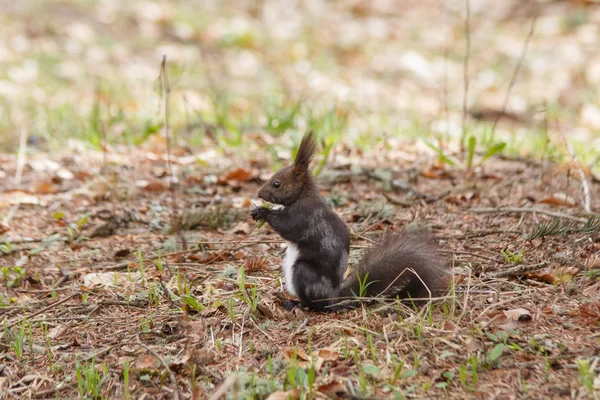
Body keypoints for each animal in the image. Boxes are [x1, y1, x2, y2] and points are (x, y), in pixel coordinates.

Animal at [248, 133, 446, 310]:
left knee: (315, 305)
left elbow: (288, 227)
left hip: (305, 274)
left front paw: (263, 212)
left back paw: (297, 304)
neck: (303, 195)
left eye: (276, 184)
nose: (259, 193)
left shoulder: (305, 215)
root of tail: (333, 297)